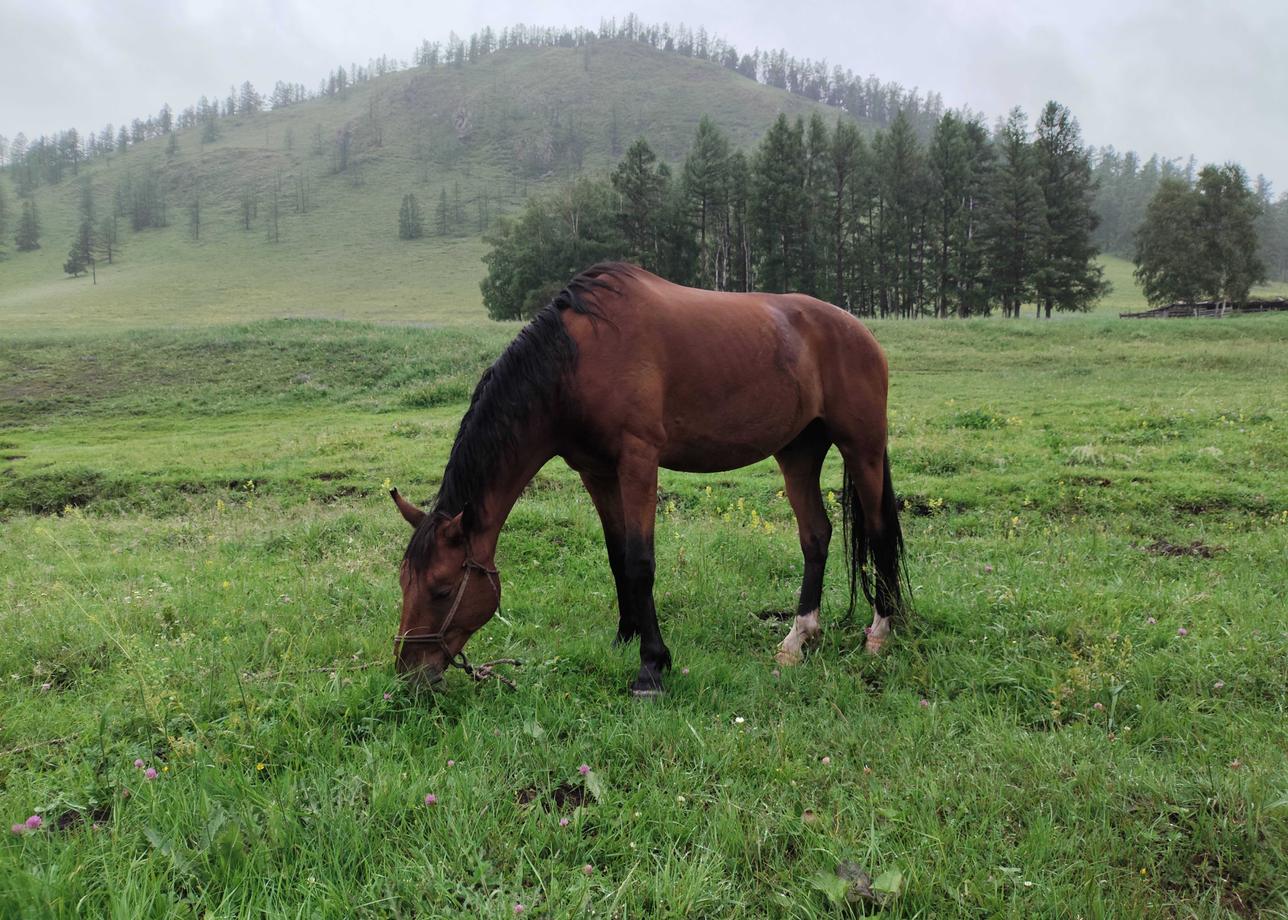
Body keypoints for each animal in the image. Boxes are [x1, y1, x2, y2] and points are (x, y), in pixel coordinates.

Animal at [388, 261, 906, 690]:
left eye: (442, 589)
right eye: (404, 584)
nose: (410, 674)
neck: (576, 362)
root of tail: (860, 332)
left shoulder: (638, 460)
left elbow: (640, 562)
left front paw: (651, 665)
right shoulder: (596, 471)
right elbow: (617, 557)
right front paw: (625, 638)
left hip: (861, 448)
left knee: (880, 531)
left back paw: (880, 633)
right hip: (798, 451)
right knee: (815, 536)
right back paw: (797, 639)